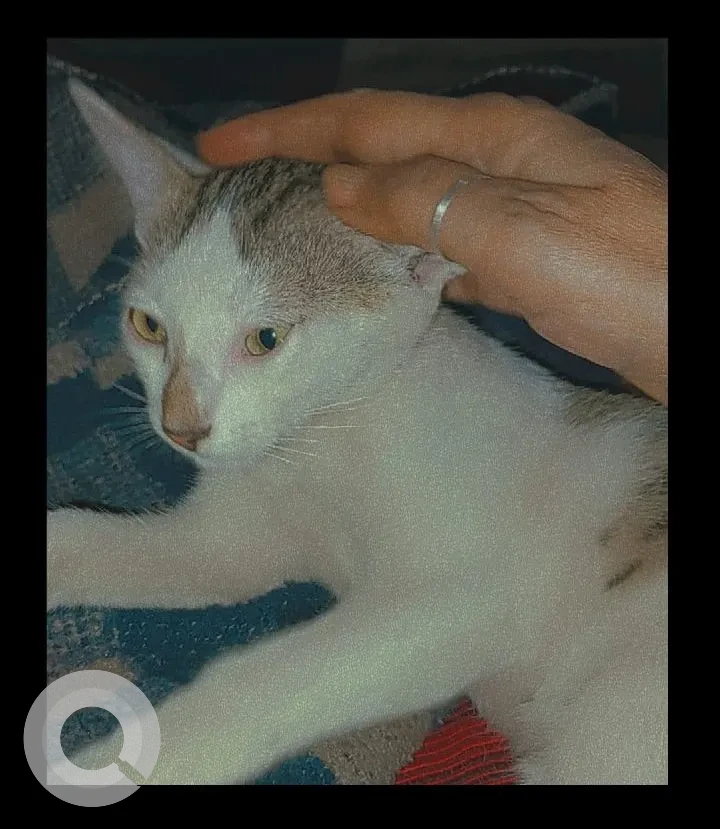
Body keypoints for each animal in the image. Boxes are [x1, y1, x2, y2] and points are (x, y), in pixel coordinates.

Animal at [47, 79, 667, 785]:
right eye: (149, 326)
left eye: (266, 339)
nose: (181, 428)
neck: (321, 441)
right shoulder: (227, 542)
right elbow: (103, 540)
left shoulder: (472, 594)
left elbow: (265, 681)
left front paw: (111, 764)